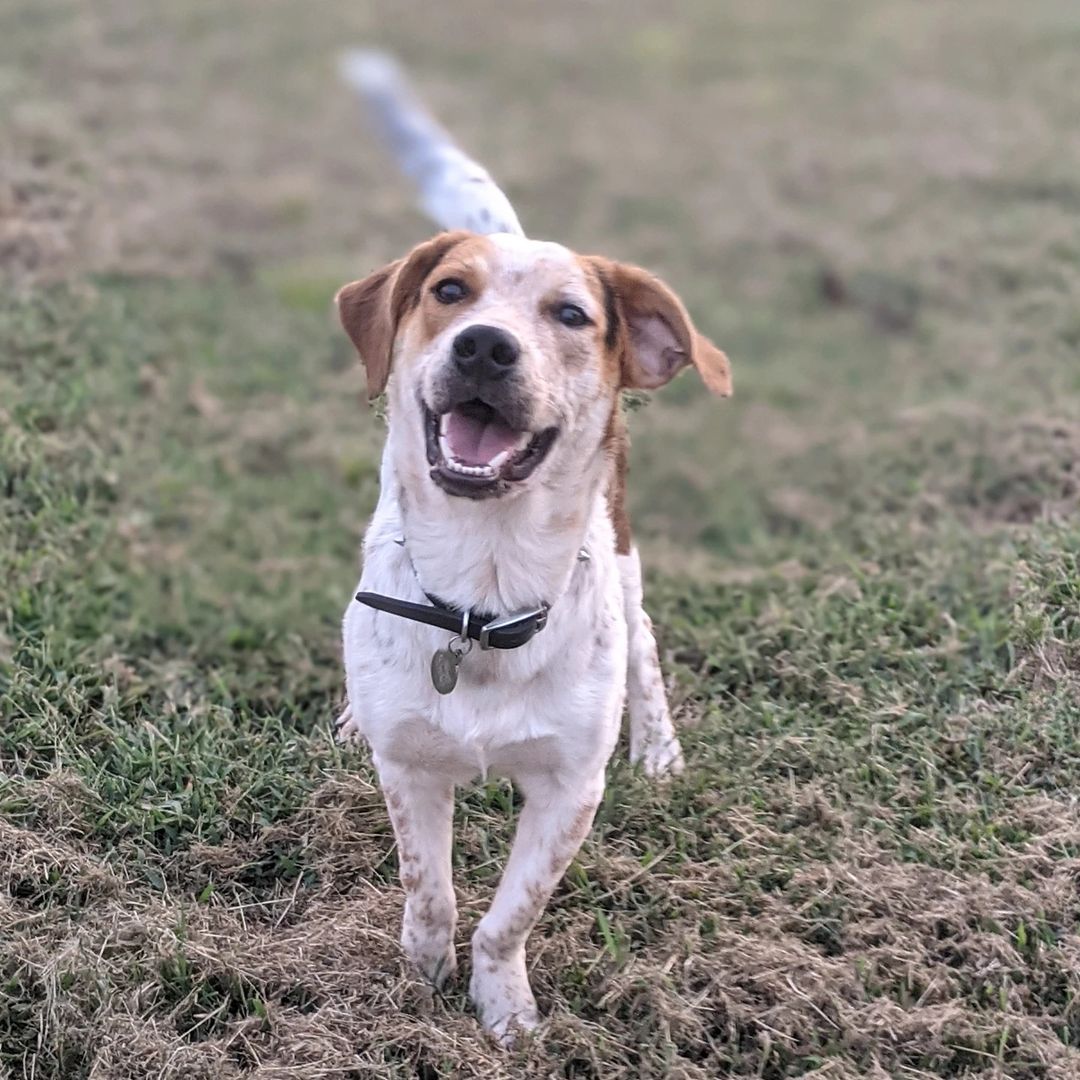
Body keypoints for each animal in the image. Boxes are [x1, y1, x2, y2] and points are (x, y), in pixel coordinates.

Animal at [332, 54, 730, 1041]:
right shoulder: (411, 772)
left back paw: (658, 749)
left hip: (624, 555)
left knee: (645, 641)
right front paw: (422, 978)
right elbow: (429, 890)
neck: (484, 589)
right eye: (448, 292)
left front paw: (502, 1005)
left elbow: (510, 915)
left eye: (572, 315)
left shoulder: (567, 790)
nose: (484, 346)